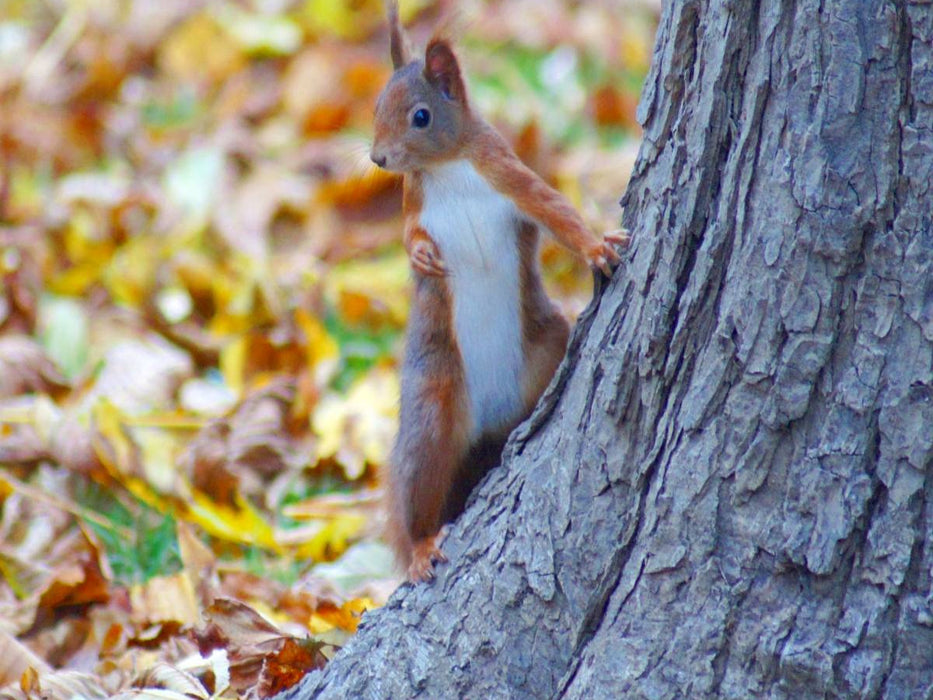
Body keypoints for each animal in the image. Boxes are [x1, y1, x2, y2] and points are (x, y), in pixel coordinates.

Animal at [371, 1, 629, 582]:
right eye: (376, 106)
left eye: (420, 116)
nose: (377, 159)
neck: (447, 166)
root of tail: (486, 425)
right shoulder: (413, 201)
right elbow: (407, 234)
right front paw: (419, 257)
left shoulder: (508, 176)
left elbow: (556, 209)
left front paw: (597, 247)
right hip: (432, 405)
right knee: (421, 486)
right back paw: (421, 546)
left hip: (545, 345)